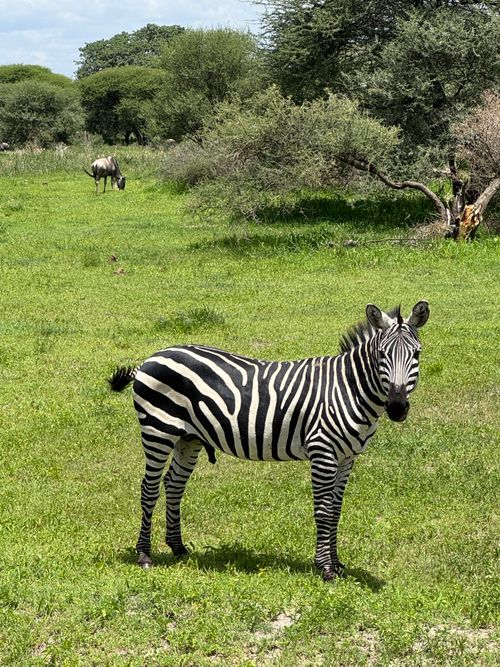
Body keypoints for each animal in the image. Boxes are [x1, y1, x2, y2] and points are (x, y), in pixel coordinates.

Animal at [108, 301, 429, 581]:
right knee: (149, 488)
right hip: (157, 431)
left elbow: (336, 510)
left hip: (189, 437)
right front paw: (325, 568)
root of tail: (150, 358)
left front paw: (337, 564)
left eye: (416, 355)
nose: (397, 407)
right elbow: (324, 511)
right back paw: (144, 555)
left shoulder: (347, 457)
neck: (348, 389)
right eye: (382, 355)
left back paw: (178, 548)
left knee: (174, 485)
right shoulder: (323, 451)